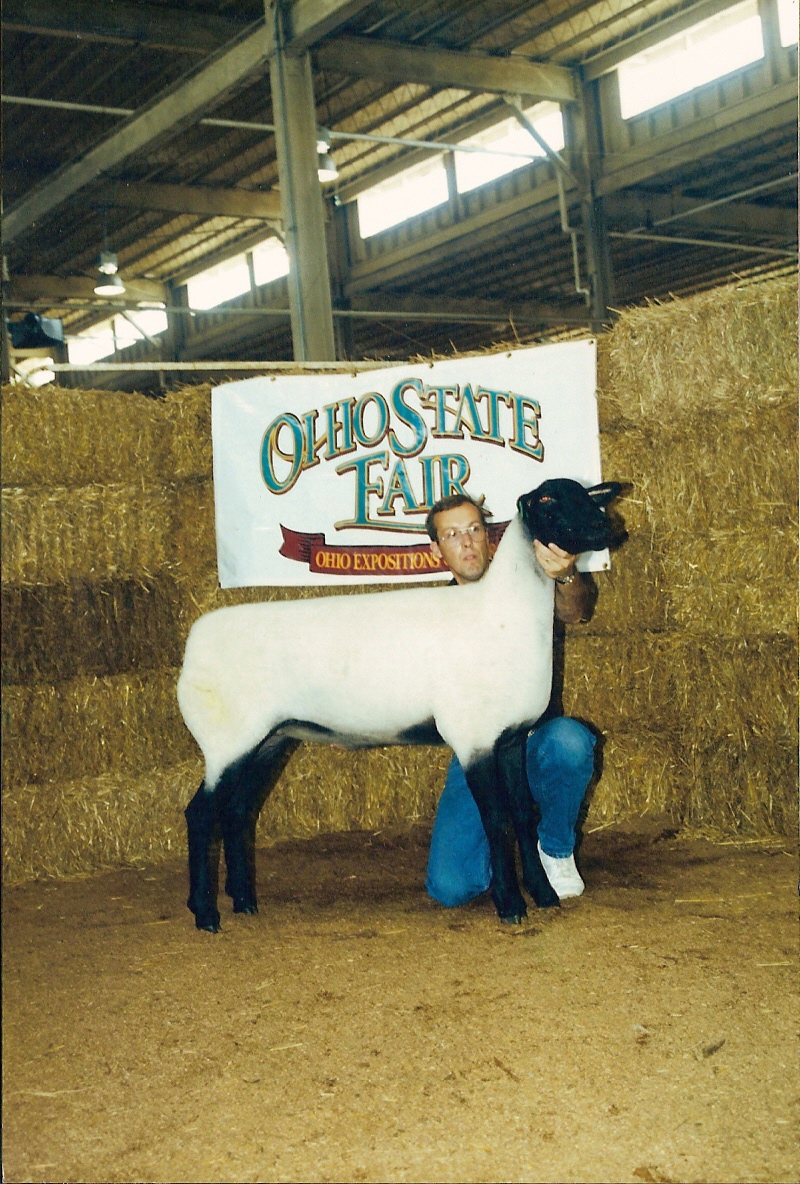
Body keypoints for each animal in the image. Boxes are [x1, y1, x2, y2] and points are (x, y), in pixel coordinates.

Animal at [178, 478, 626, 932]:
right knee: (201, 815)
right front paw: (510, 905)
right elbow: (496, 820)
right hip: (227, 740)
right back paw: (206, 913)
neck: (505, 613)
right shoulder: (476, 739)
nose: (607, 527)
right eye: (549, 500)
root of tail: (195, 643)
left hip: (270, 739)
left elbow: (523, 814)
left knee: (237, 813)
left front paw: (544, 895)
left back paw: (244, 901)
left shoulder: (514, 738)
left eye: (587, 497)